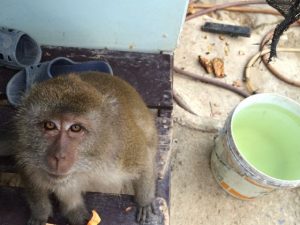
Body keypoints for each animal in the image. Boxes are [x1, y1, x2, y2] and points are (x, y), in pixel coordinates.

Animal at [14, 72, 158, 225]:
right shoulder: (25, 149)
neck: (86, 167)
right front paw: (41, 213)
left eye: (76, 128)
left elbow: (144, 162)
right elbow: (30, 175)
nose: (59, 156)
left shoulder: (121, 149)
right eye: (50, 125)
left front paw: (145, 202)